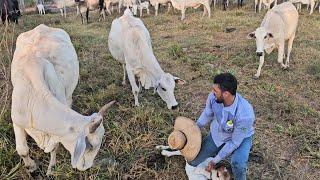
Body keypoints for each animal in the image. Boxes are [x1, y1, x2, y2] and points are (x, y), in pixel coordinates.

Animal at [11, 24, 115, 175]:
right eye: (90, 145)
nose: (86, 167)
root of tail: (42, 26)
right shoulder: (17, 120)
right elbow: (22, 150)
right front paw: (32, 167)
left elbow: (54, 146)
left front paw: (51, 169)